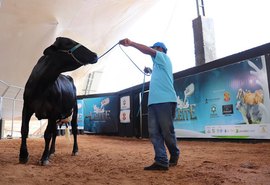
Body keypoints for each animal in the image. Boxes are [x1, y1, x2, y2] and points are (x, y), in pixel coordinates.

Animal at [19, 36, 97, 165]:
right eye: (69, 43)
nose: (95, 54)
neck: (41, 86)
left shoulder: (53, 111)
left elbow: (47, 134)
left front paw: (44, 158)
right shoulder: (27, 107)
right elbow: (24, 130)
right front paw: (23, 155)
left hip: (74, 110)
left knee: (74, 129)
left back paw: (74, 150)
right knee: (55, 132)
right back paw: (51, 152)